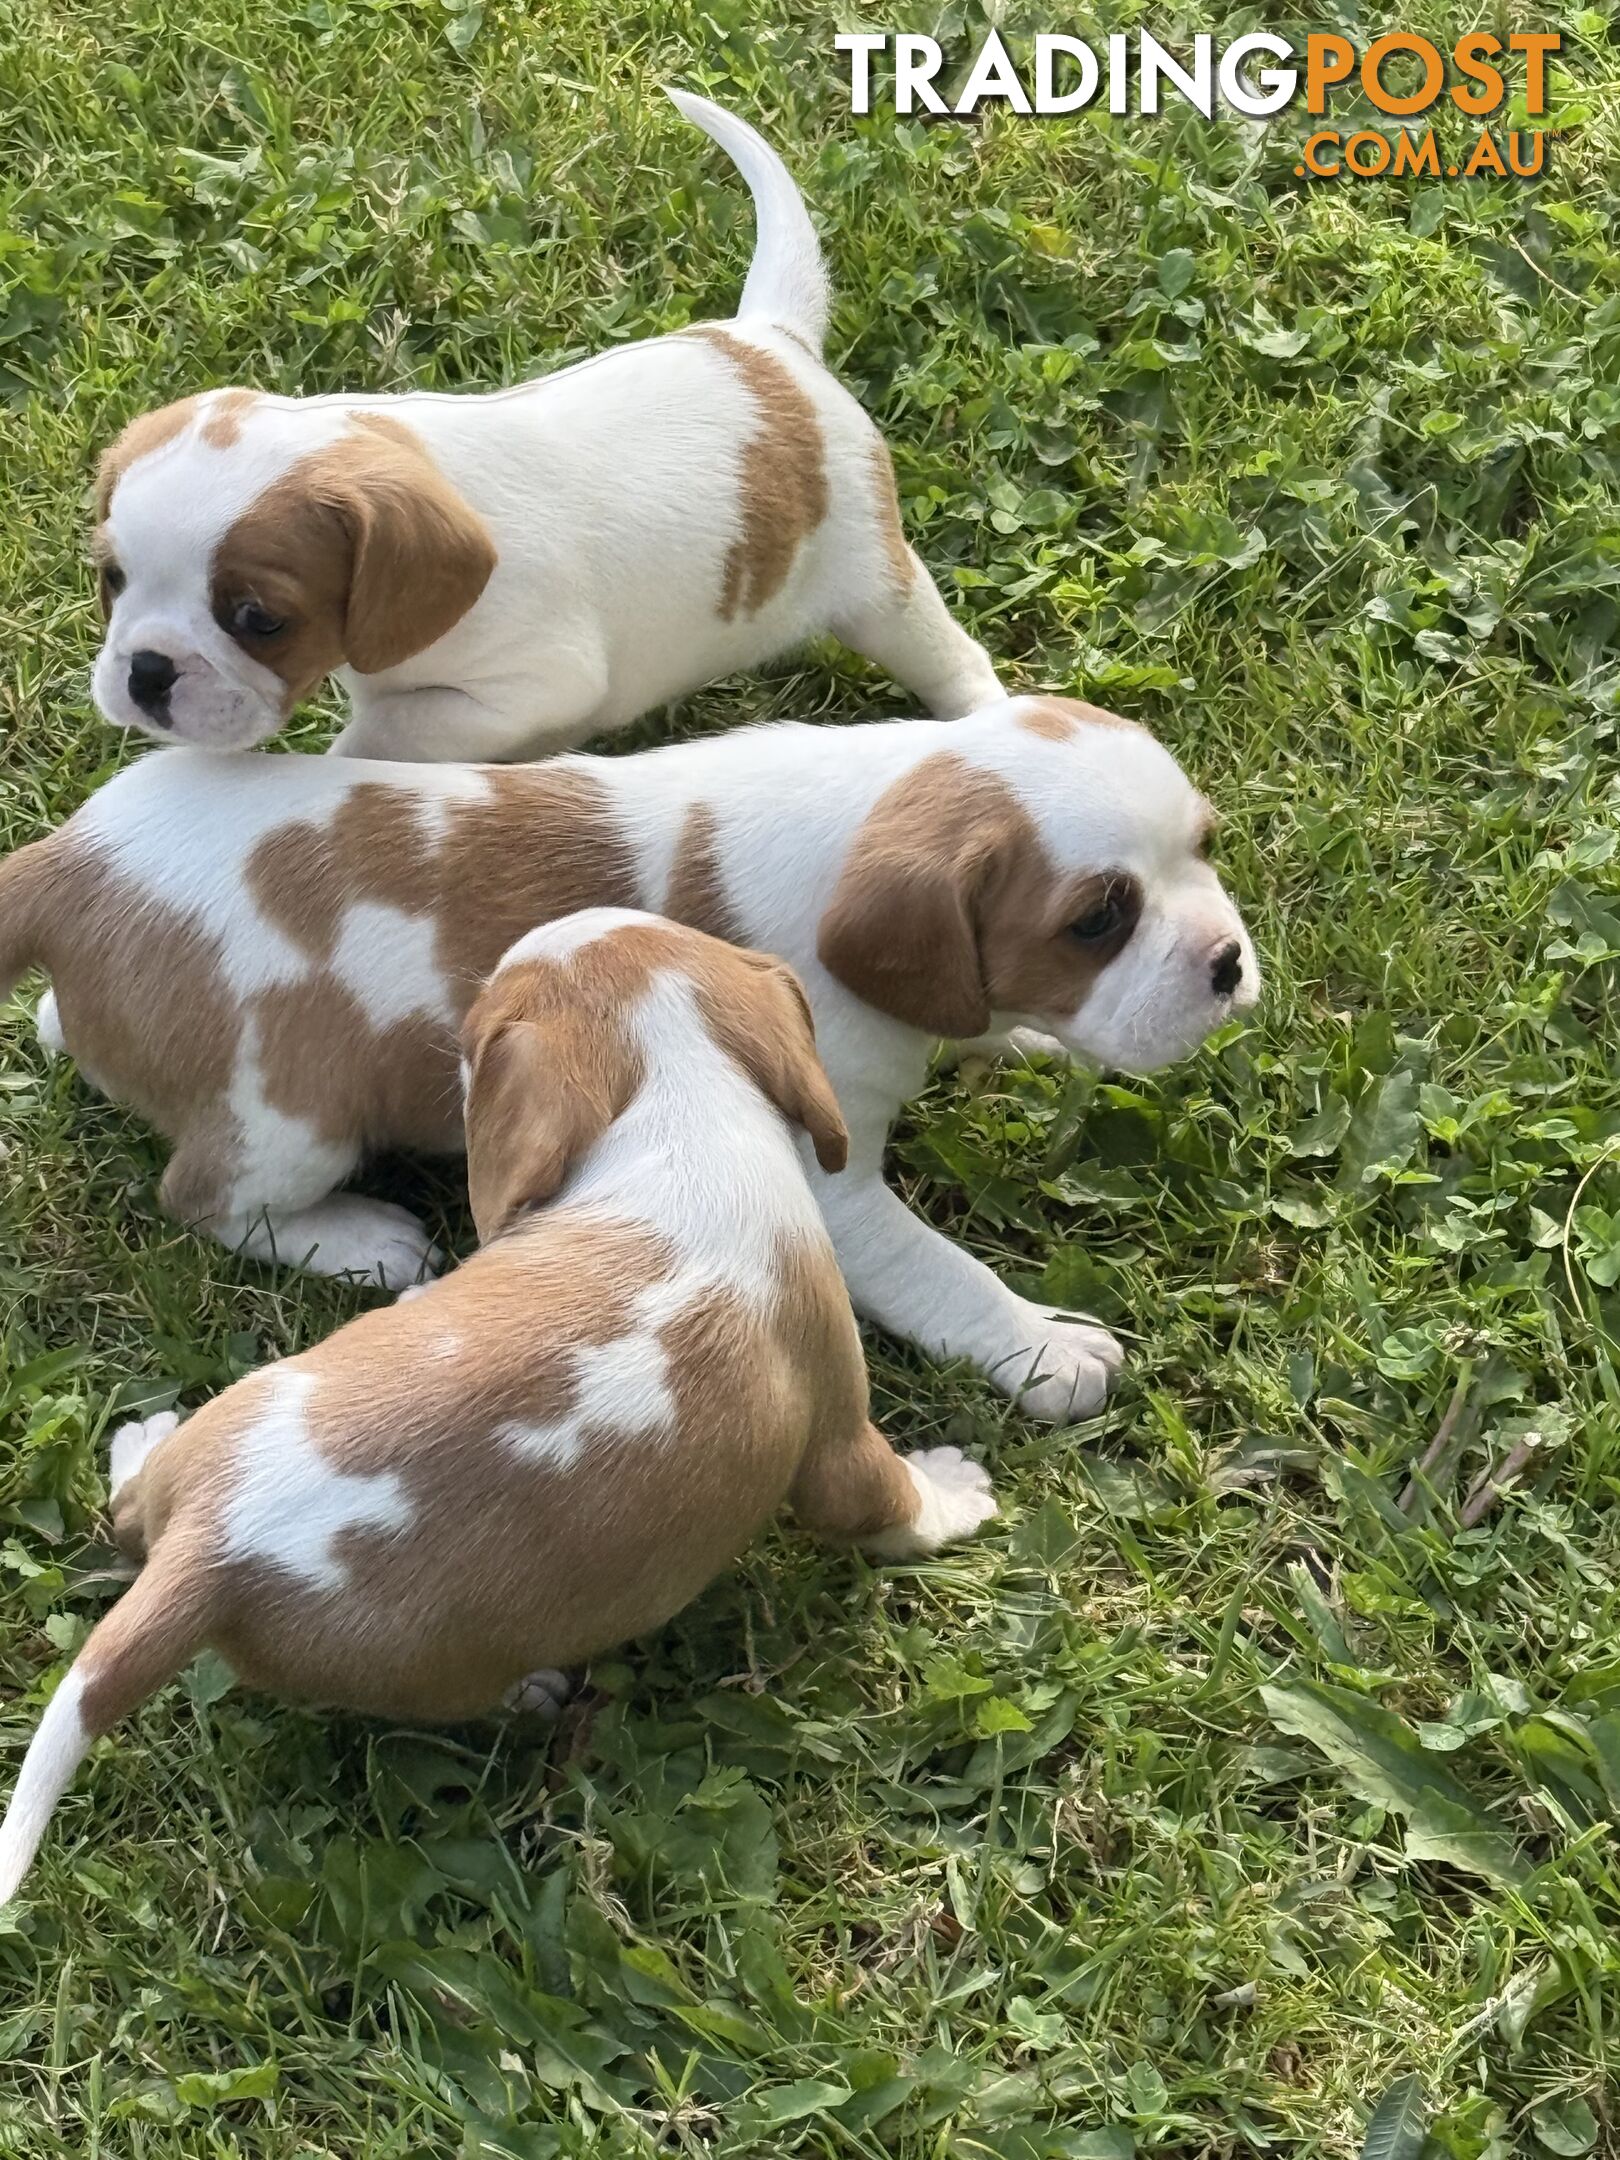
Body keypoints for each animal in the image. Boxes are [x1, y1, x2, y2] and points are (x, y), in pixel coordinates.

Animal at [0, 911, 997, 1909]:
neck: (683, 1111)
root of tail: (211, 1552)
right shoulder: (838, 1437)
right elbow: (889, 1503)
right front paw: (957, 1493)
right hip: (435, 1668)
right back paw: (537, 1689)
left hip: (237, 1417)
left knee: (131, 1507)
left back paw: (142, 1443)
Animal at [88, 88, 1010, 764]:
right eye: (112, 579)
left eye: (259, 619)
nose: (148, 672)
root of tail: (768, 339)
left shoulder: (529, 684)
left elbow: (392, 731)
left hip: (877, 588)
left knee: (952, 660)